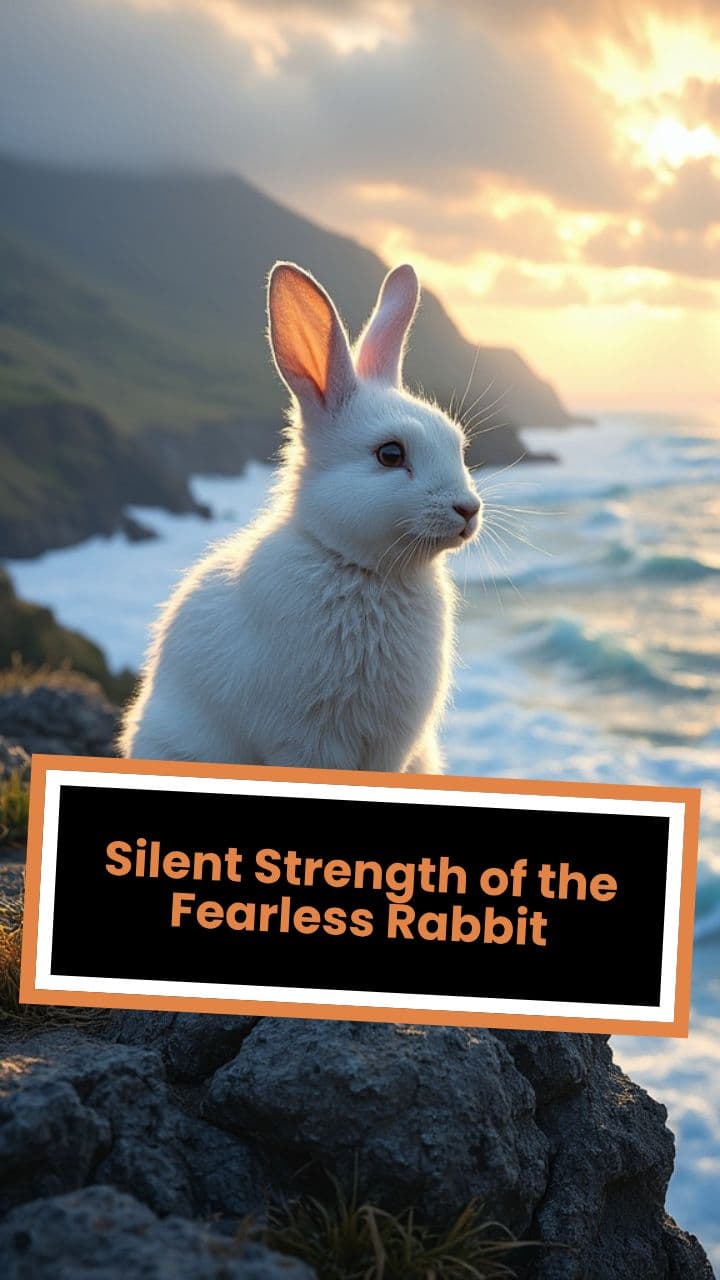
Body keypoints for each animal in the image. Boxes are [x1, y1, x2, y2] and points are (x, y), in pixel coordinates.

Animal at [119, 261, 482, 773]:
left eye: (457, 444)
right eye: (390, 454)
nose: (468, 509)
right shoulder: (306, 740)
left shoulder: (390, 750)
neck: (364, 568)